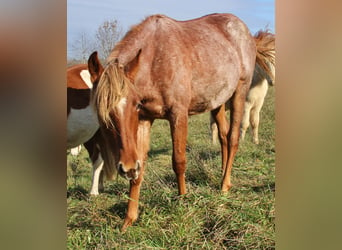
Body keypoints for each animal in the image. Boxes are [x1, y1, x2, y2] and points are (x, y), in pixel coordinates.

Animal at [89, 12, 276, 229]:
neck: (155, 58)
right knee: (223, 137)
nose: (127, 168)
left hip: (240, 93)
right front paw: (129, 219)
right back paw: (223, 175)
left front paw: (183, 200)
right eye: (103, 112)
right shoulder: (145, 119)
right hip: (218, 101)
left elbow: (178, 161)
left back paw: (224, 186)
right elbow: (140, 168)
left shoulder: (178, 114)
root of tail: (246, 33)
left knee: (232, 139)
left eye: (134, 104)